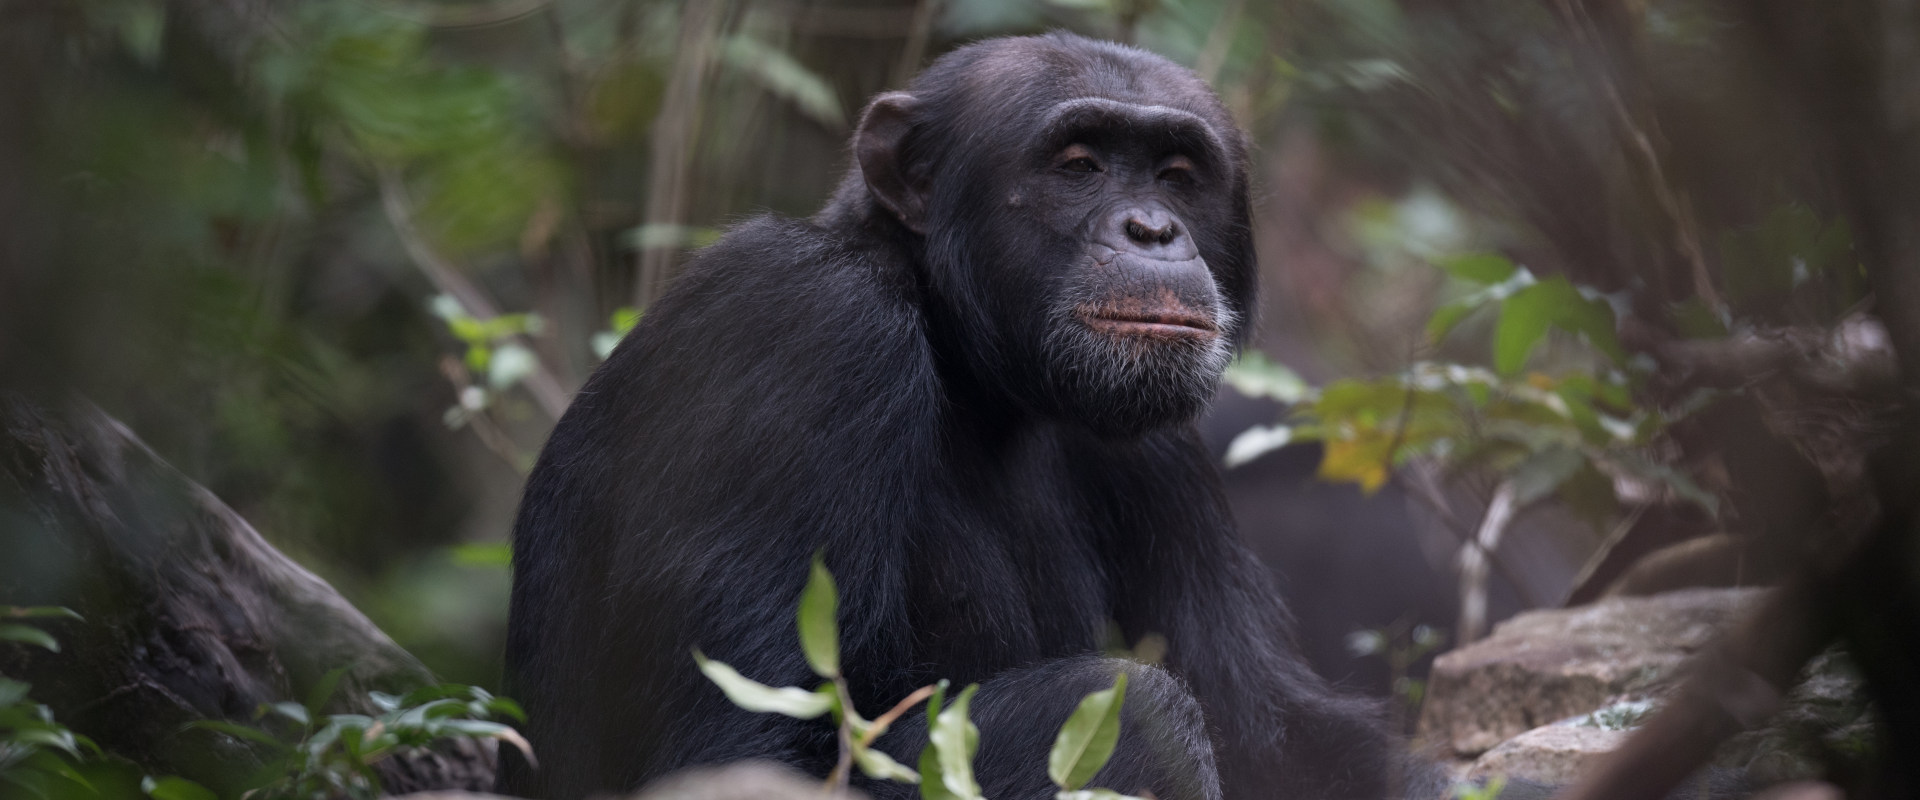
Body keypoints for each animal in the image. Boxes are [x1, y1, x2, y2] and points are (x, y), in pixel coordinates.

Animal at [503, 32, 1443, 800]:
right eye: (1078, 164)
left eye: (1178, 173)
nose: (1152, 228)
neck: (975, 373)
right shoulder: (802, 325)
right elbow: (742, 754)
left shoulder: (1161, 441)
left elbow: (1271, 724)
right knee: (1141, 715)